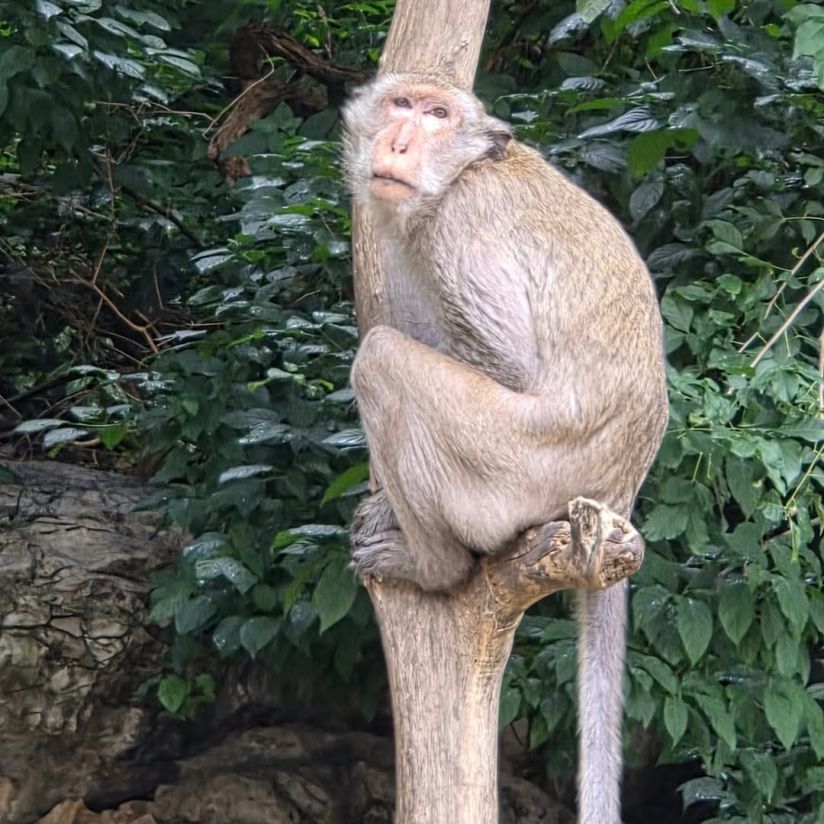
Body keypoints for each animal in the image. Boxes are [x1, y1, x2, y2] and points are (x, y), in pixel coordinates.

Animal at [341, 73, 668, 824]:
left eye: (438, 114)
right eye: (402, 106)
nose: (399, 142)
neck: (458, 175)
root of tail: (618, 493)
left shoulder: (459, 231)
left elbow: (510, 366)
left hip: (514, 471)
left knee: (382, 362)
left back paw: (430, 565)